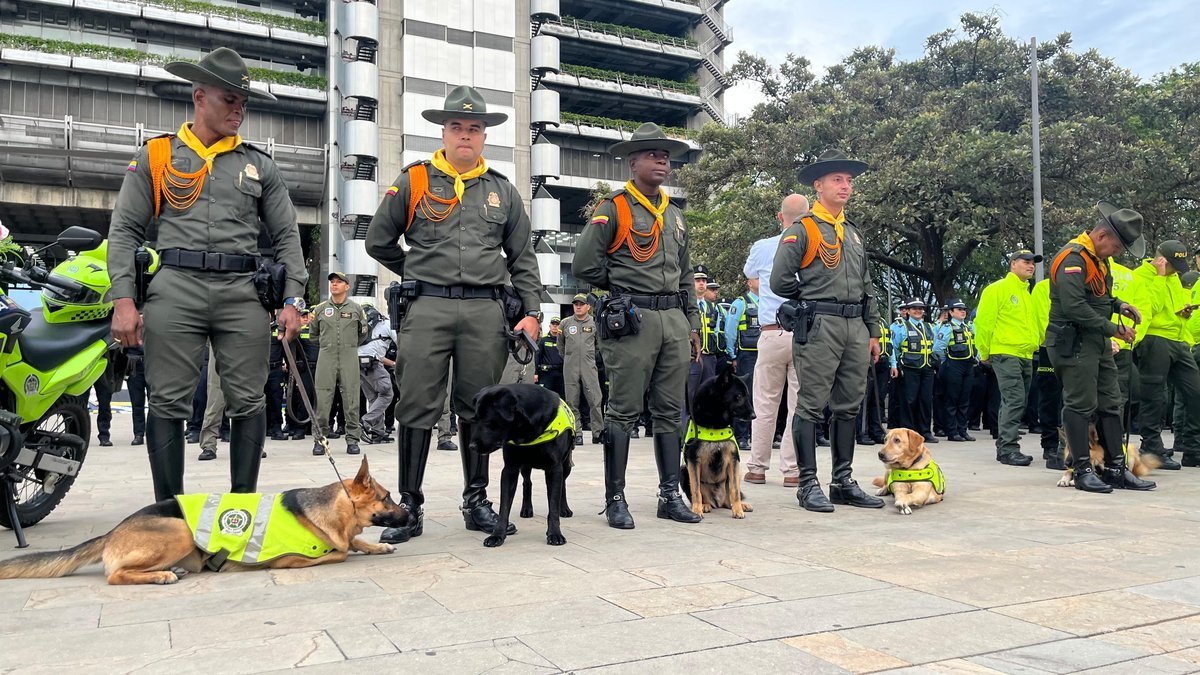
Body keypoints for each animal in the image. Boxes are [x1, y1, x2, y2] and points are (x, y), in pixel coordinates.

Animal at [465, 381, 573, 542]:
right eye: (474, 420)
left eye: (489, 422)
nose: (472, 447)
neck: (525, 431)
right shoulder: (510, 469)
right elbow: (504, 507)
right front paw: (497, 535)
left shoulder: (554, 468)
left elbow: (553, 505)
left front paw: (555, 533)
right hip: (525, 466)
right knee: (527, 483)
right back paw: (527, 508)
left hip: (566, 464)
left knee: (563, 484)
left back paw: (564, 508)